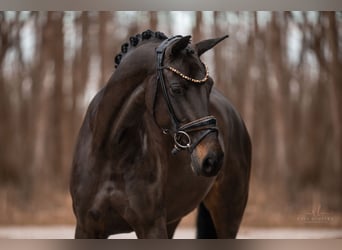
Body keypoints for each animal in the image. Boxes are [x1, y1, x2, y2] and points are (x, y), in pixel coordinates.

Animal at [70, 30, 251, 239]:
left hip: (228, 213)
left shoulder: (151, 226)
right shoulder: (86, 228)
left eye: (209, 86)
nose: (213, 159)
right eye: (176, 88)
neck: (110, 151)